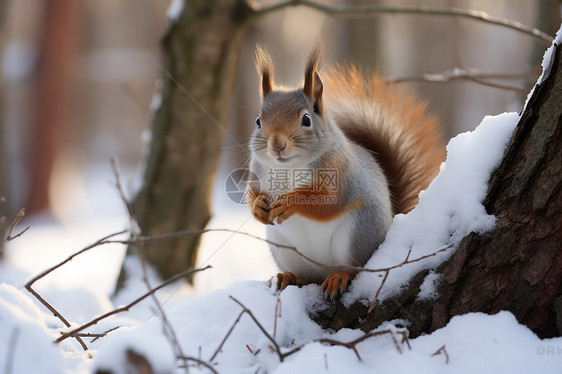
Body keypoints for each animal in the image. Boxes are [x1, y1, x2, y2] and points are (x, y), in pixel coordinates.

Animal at [245, 44, 442, 300]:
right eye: (258, 121)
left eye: (306, 119)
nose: (277, 144)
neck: (287, 167)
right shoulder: (256, 174)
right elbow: (252, 193)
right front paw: (258, 206)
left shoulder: (339, 173)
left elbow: (329, 202)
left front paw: (290, 202)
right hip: (284, 247)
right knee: (305, 276)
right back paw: (288, 276)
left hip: (357, 234)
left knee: (355, 268)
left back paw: (339, 276)